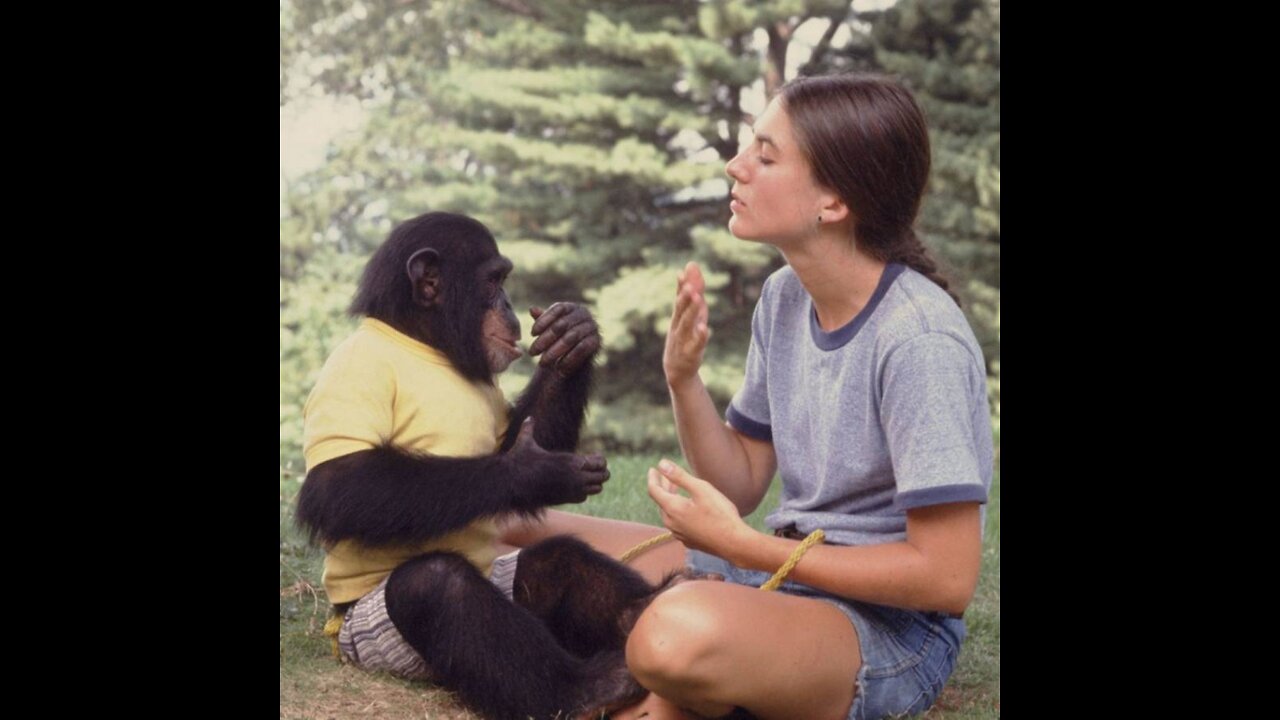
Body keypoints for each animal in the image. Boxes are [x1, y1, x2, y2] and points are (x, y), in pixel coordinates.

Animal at [296, 210, 680, 717]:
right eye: (494, 280)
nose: (510, 304)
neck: (423, 343)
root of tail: (337, 634)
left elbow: (513, 441)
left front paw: (573, 338)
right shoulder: (355, 372)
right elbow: (341, 486)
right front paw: (535, 473)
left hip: (507, 580)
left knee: (558, 559)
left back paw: (644, 609)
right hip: (376, 642)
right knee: (435, 585)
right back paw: (586, 690)